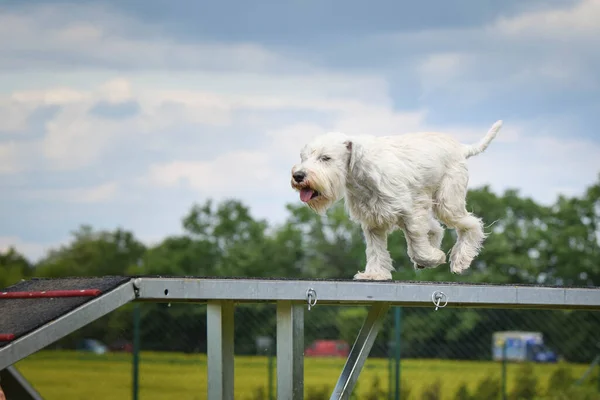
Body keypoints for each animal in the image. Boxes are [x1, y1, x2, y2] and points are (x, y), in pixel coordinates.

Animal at [290, 120, 502, 280]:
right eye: (303, 157)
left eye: (326, 158)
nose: (298, 176)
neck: (359, 172)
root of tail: (461, 149)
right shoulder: (373, 221)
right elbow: (375, 250)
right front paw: (374, 274)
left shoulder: (411, 213)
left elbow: (417, 245)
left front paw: (433, 258)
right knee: (437, 229)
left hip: (447, 203)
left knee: (471, 224)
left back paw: (460, 260)